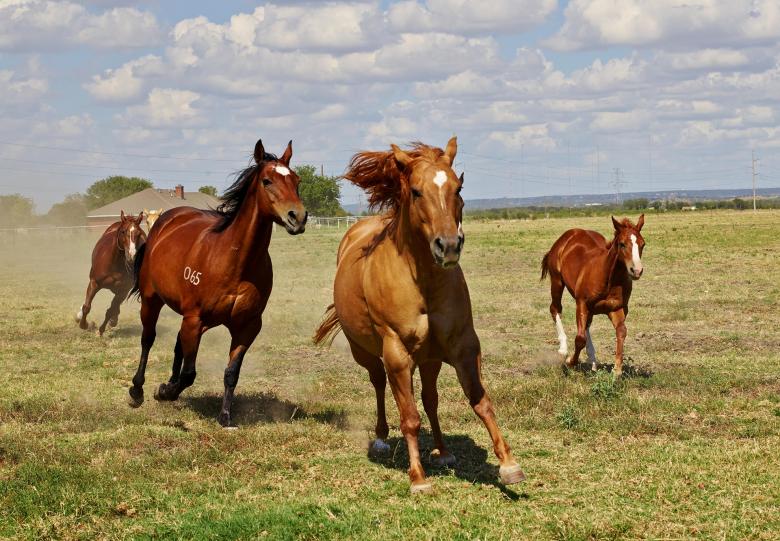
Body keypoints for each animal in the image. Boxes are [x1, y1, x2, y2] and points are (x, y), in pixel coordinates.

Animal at [127, 139, 307, 428]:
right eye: (267, 180)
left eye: (297, 180)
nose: (297, 217)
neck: (235, 262)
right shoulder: (194, 319)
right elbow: (189, 373)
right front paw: (164, 391)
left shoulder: (247, 326)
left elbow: (231, 372)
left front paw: (225, 416)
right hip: (152, 301)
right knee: (148, 339)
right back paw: (138, 390)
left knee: (178, 344)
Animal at [314, 138, 524, 494]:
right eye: (415, 191)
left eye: (458, 187)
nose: (449, 246)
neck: (422, 281)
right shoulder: (397, 353)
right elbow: (409, 417)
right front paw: (418, 478)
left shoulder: (463, 346)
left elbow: (479, 401)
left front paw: (509, 465)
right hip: (367, 353)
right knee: (379, 384)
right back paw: (382, 439)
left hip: (429, 359)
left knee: (430, 399)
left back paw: (442, 450)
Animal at [540, 215, 645, 376]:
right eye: (622, 244)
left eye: (642, 244)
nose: (637, 271)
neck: (609, 278)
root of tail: (568, 235)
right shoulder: (581, 303)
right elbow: (580, 338)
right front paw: (570, 361)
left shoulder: (617, 308)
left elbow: (621, 331)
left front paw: (617, 370)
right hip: (557, 281)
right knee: (555, 308)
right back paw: (563, 349)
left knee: (587, 324)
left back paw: (593, 360)